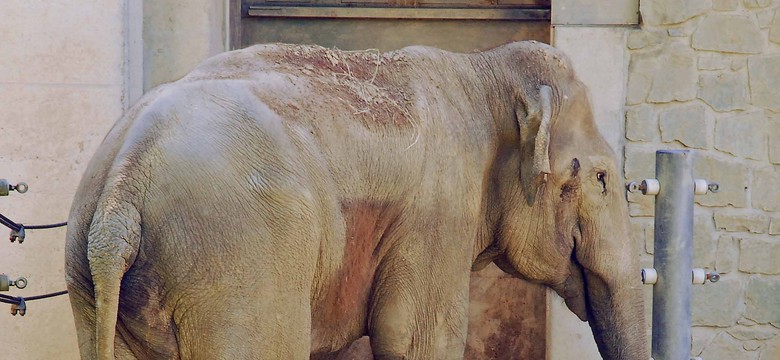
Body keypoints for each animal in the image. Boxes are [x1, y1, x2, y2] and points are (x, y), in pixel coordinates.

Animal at [67, 40, 648, 358]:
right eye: (601, 178)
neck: (479, 71)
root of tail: (123, 186)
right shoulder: (438, 211)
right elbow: (417, 340)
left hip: (90, 280)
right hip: (235, 264)